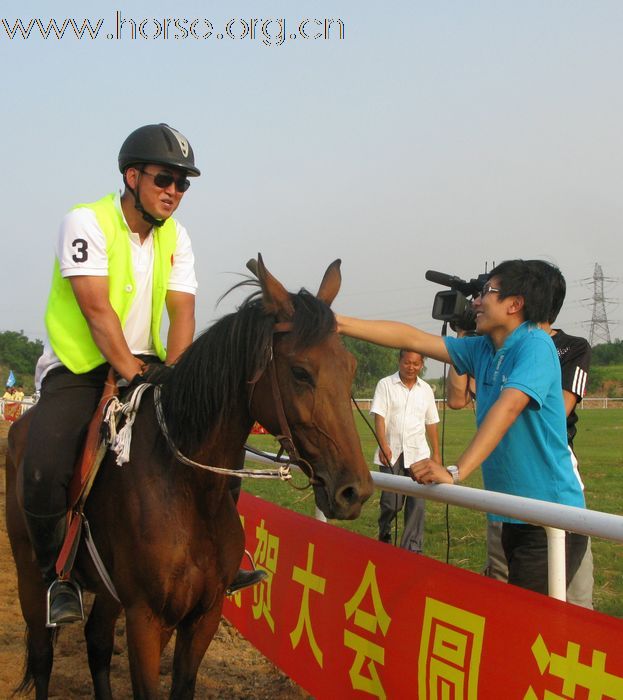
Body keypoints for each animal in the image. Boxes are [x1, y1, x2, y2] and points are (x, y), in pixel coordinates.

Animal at [6, 258, 376, 700]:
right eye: (301, 372)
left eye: (351, 368)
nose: (354, 491)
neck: (186, 489)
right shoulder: (146, 620)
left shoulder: (202, 616)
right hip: (31, 574)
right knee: (42, 653)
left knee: (96, 641)